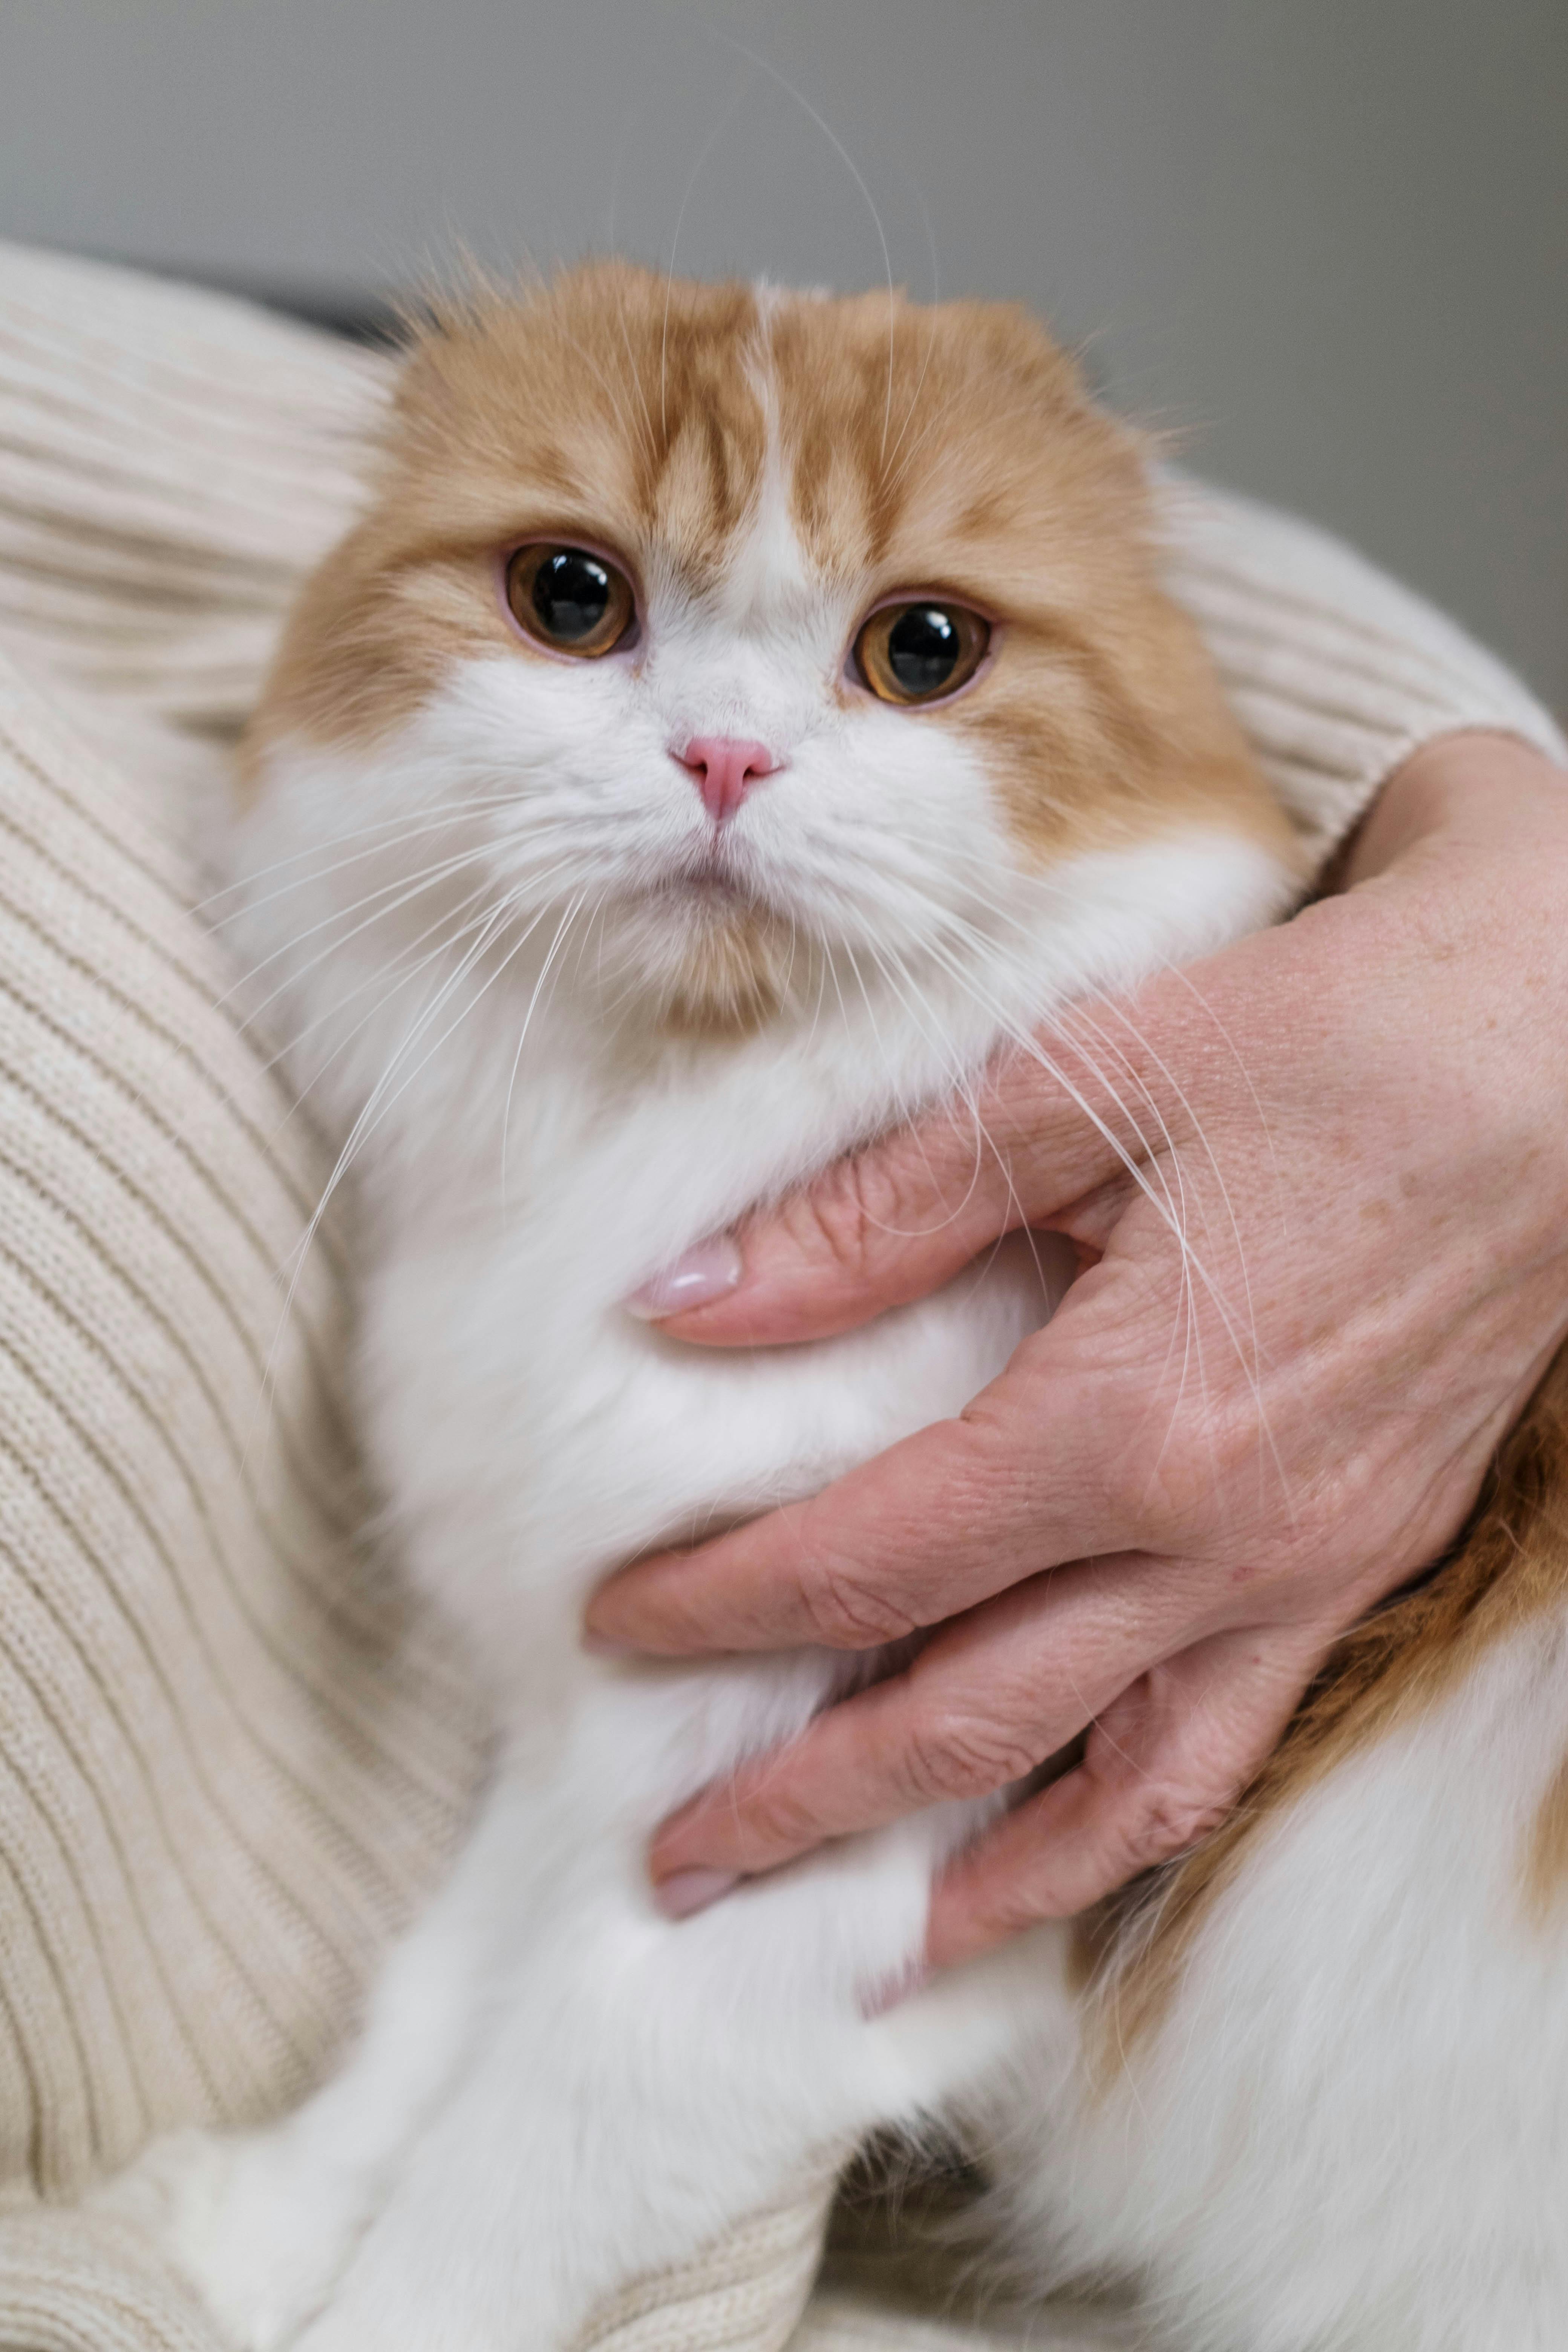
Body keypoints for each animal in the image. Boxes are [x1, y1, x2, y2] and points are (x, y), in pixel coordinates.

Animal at [113, 262, 1568, 2352]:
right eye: (572, 598)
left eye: (924, 648)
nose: (725, 763)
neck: (659, 1153)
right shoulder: (608, 1729)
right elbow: (423, 2026)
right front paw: (249, 2235)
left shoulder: (811, 1881)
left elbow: (491, 2193)